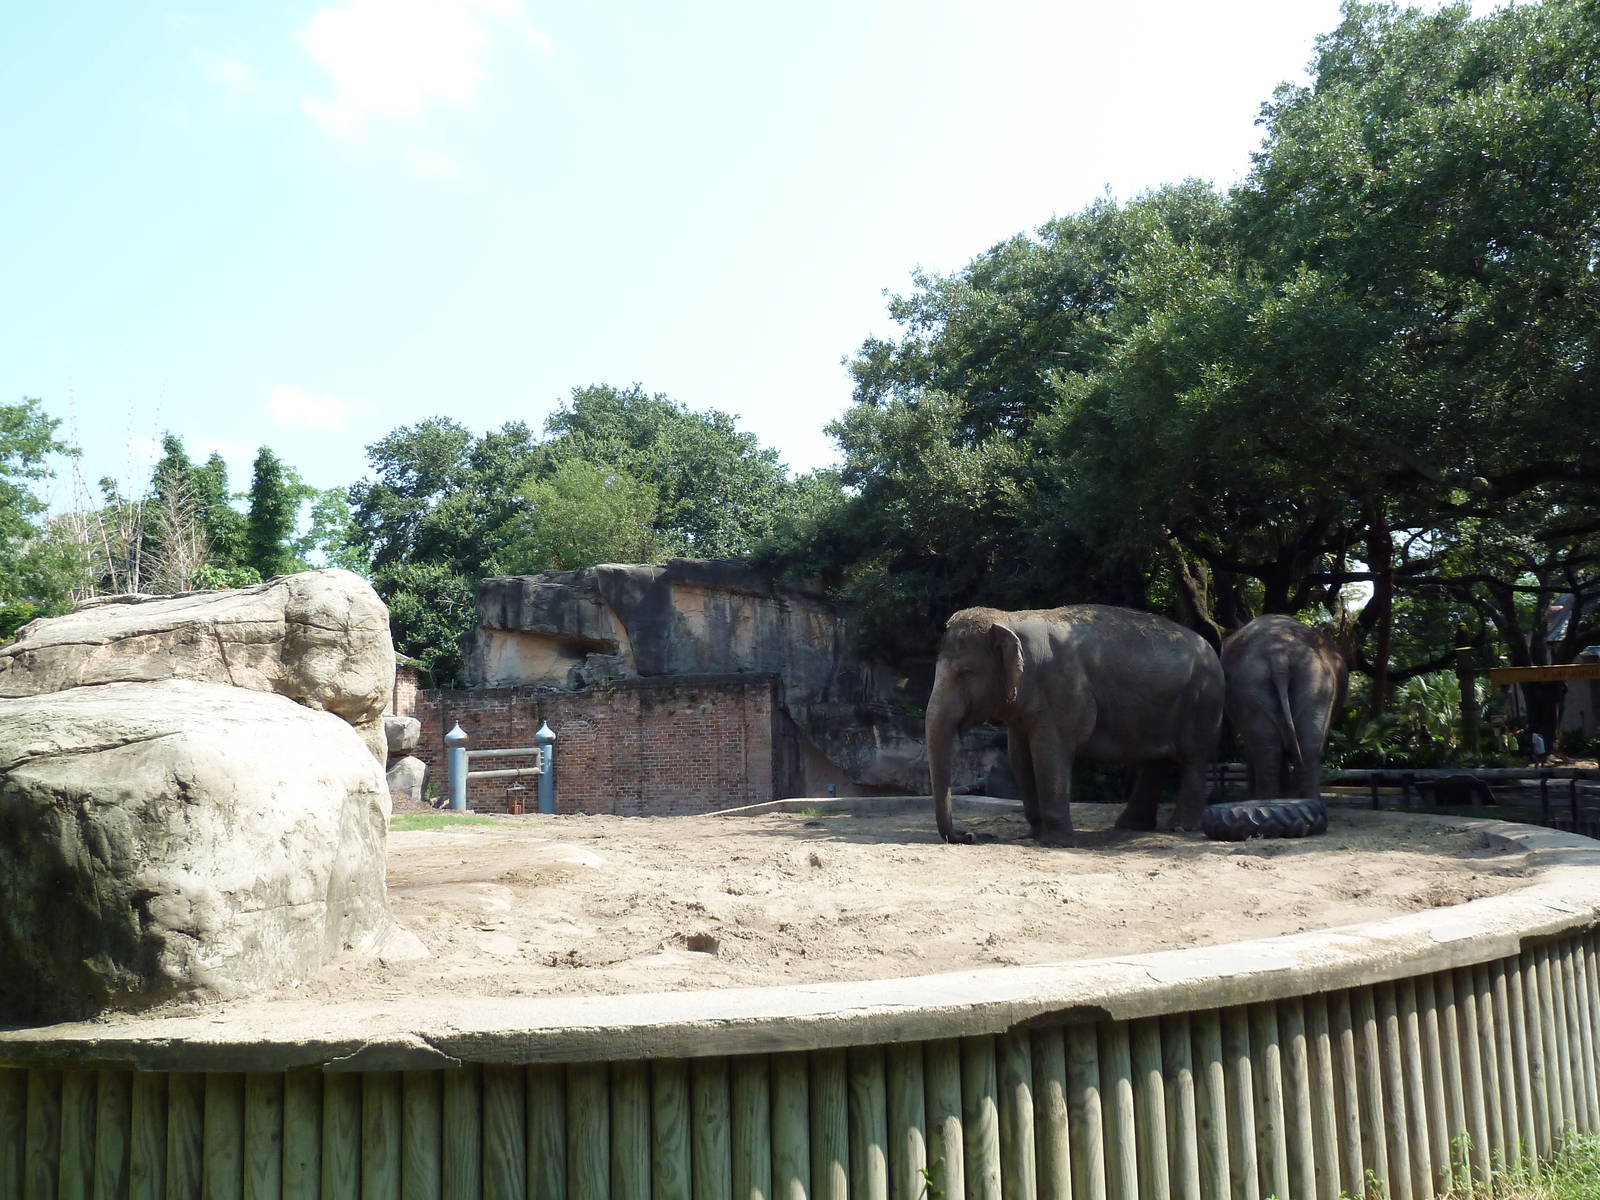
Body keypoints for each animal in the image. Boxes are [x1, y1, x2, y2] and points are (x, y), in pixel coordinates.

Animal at [925, 605, 1225, 846]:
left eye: (965, 672)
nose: (969, 835)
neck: (1009, 618)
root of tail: (1212, 648)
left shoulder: (1062, 687)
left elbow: (1049, 753)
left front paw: (1055, 842)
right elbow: (1020, 756)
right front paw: (1035, 835)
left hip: (1204, 700)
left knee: (1193, 757)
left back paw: (1180, 827)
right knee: (1157, 761)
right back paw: (1130, 826)